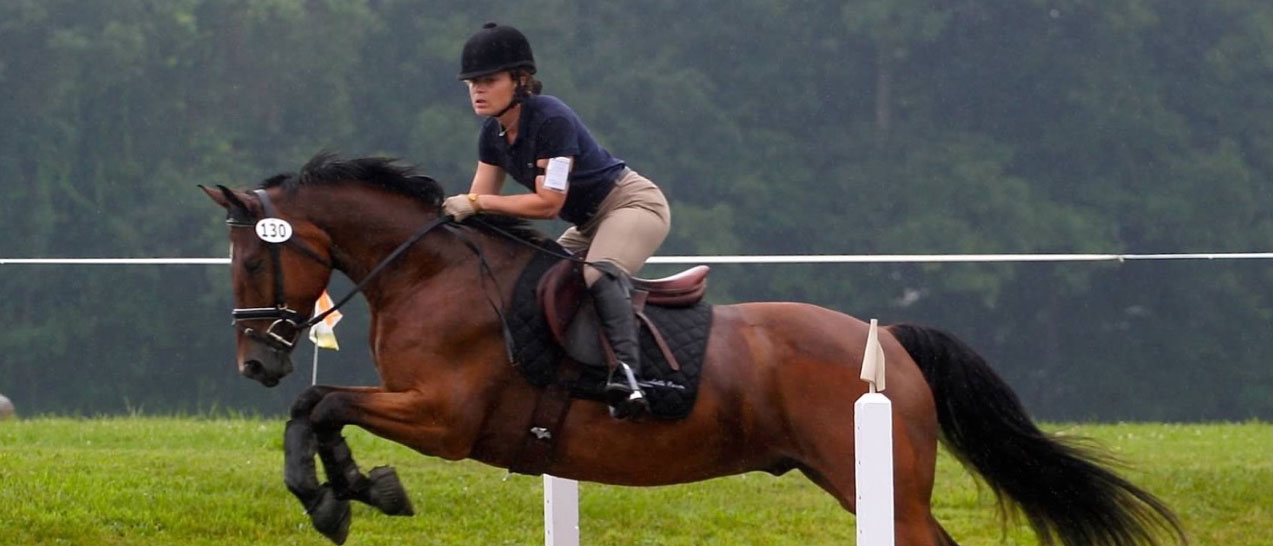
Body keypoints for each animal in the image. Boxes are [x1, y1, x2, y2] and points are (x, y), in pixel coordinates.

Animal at [198, 153, 1181, 544]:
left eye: (252, 258)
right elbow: (317, 411)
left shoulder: (447, 419)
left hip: (879, 483)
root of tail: (889, 342)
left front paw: (345, 495)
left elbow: (321, 403)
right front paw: (350, 492)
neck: (427, 272)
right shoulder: (423, 410)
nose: (254, 363)